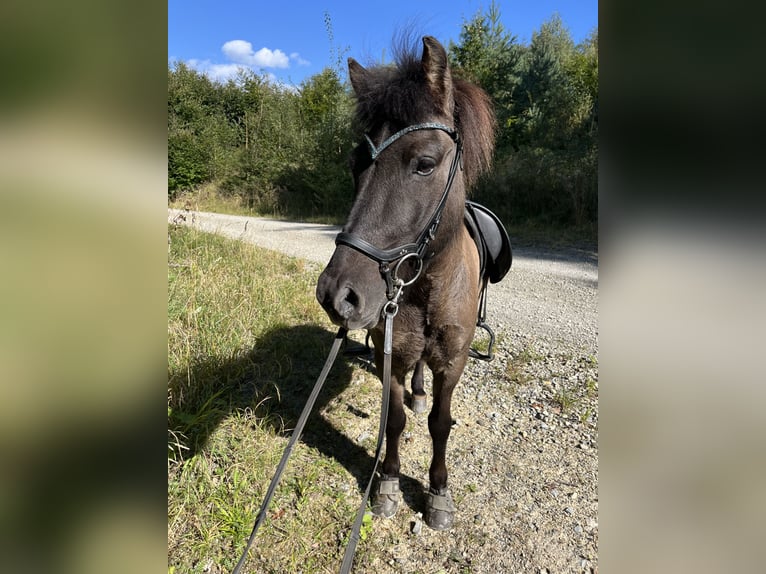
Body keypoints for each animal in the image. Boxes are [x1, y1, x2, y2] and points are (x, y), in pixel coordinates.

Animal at [316, 35, 498, 532]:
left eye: (425, 164)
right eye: (355, 164)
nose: (337, 295)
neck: (425, 288)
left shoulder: (453, 363)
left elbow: (440, 422)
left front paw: (438, 492)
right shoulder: (390, 356)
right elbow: (393, 420)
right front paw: (389, 484)